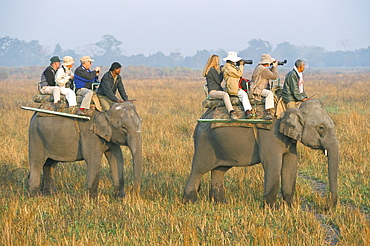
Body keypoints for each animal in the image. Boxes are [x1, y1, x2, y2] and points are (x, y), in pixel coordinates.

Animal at [184, 99, 340, 207]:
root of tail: (202, 118)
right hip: (205, 142)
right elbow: (273, 163)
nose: (327, 207)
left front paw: (289, 207)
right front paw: (272, 209)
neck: (292, 106)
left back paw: (221, 203)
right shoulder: (270, 135)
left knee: (219, 170)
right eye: (321, 128)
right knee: (199, 169)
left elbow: (291, 163)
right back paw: (190, 203)